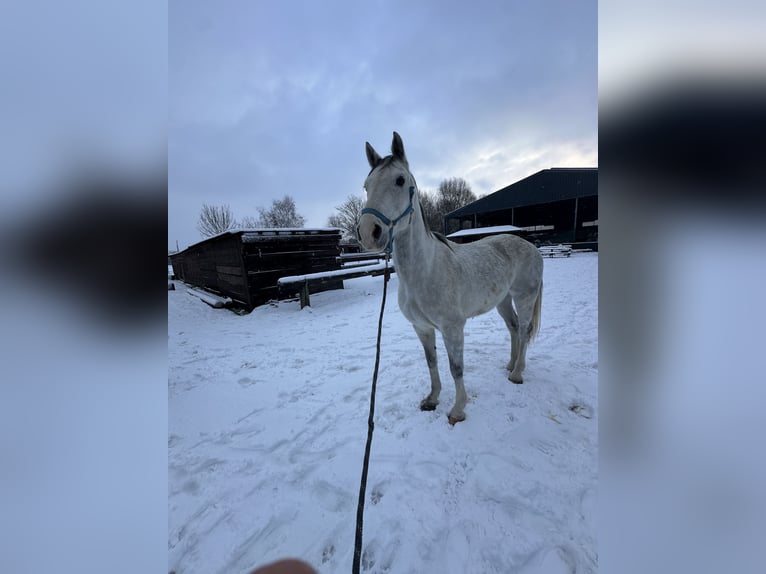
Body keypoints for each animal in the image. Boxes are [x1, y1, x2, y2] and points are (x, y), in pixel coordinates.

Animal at [356, 132, 544, 424]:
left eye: (400, 180)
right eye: (367, 186)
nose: (368, 233)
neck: (424, 272)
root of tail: (532, 247)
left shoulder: (453, 328)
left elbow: (456, 367)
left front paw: (457, 410)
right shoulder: (422, 328)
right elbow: (431, 362)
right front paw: (432, 399)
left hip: (524, 298)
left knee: (524, 330)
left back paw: (517, 374)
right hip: (503, 301)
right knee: (513, 328)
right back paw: (510, 365)